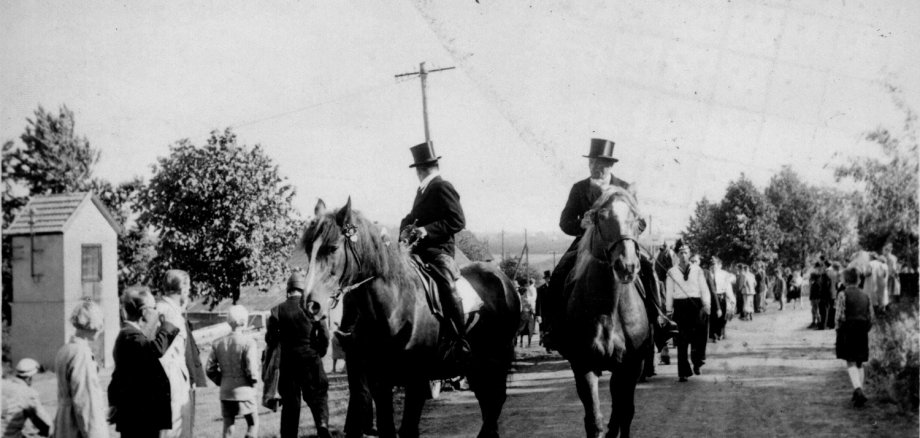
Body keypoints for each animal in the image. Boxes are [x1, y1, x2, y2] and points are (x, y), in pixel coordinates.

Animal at [298, 199, 520, 438]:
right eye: (309, 250)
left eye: (333, 248)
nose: (310, 304)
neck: (395, 308)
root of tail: (504, 281)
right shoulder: (379, 382)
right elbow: (387, 428)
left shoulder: (417, 381)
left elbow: (408, 429)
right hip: (477, 365)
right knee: (487, 401)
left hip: (496, 359)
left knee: (495, 400)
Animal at [556, 186, 652, 438]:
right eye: (601, 217)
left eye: (639, 222)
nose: (626, 266)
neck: (609, 309)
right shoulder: (583, 366)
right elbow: (594, 420)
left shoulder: (630, 367)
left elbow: (624, 415)